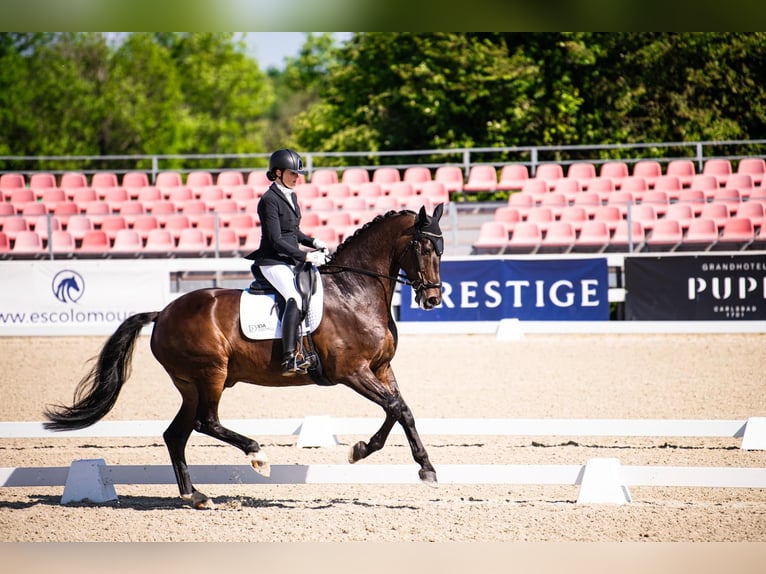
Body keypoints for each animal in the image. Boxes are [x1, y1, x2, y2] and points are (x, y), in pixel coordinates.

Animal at [45, 205, 448, 510]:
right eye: (422, 248)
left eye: (440, 249)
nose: (432, 299)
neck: (355, 292)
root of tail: (162, 314)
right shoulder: (351, 371)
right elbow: (393, 407)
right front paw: (363, 451)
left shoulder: (381, 368)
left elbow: (402, 409)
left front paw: (422, 467)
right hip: (212, 374)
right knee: (206, 422)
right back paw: (257, 456)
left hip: (191, 384)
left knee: (176, 434)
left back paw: (195, 496)